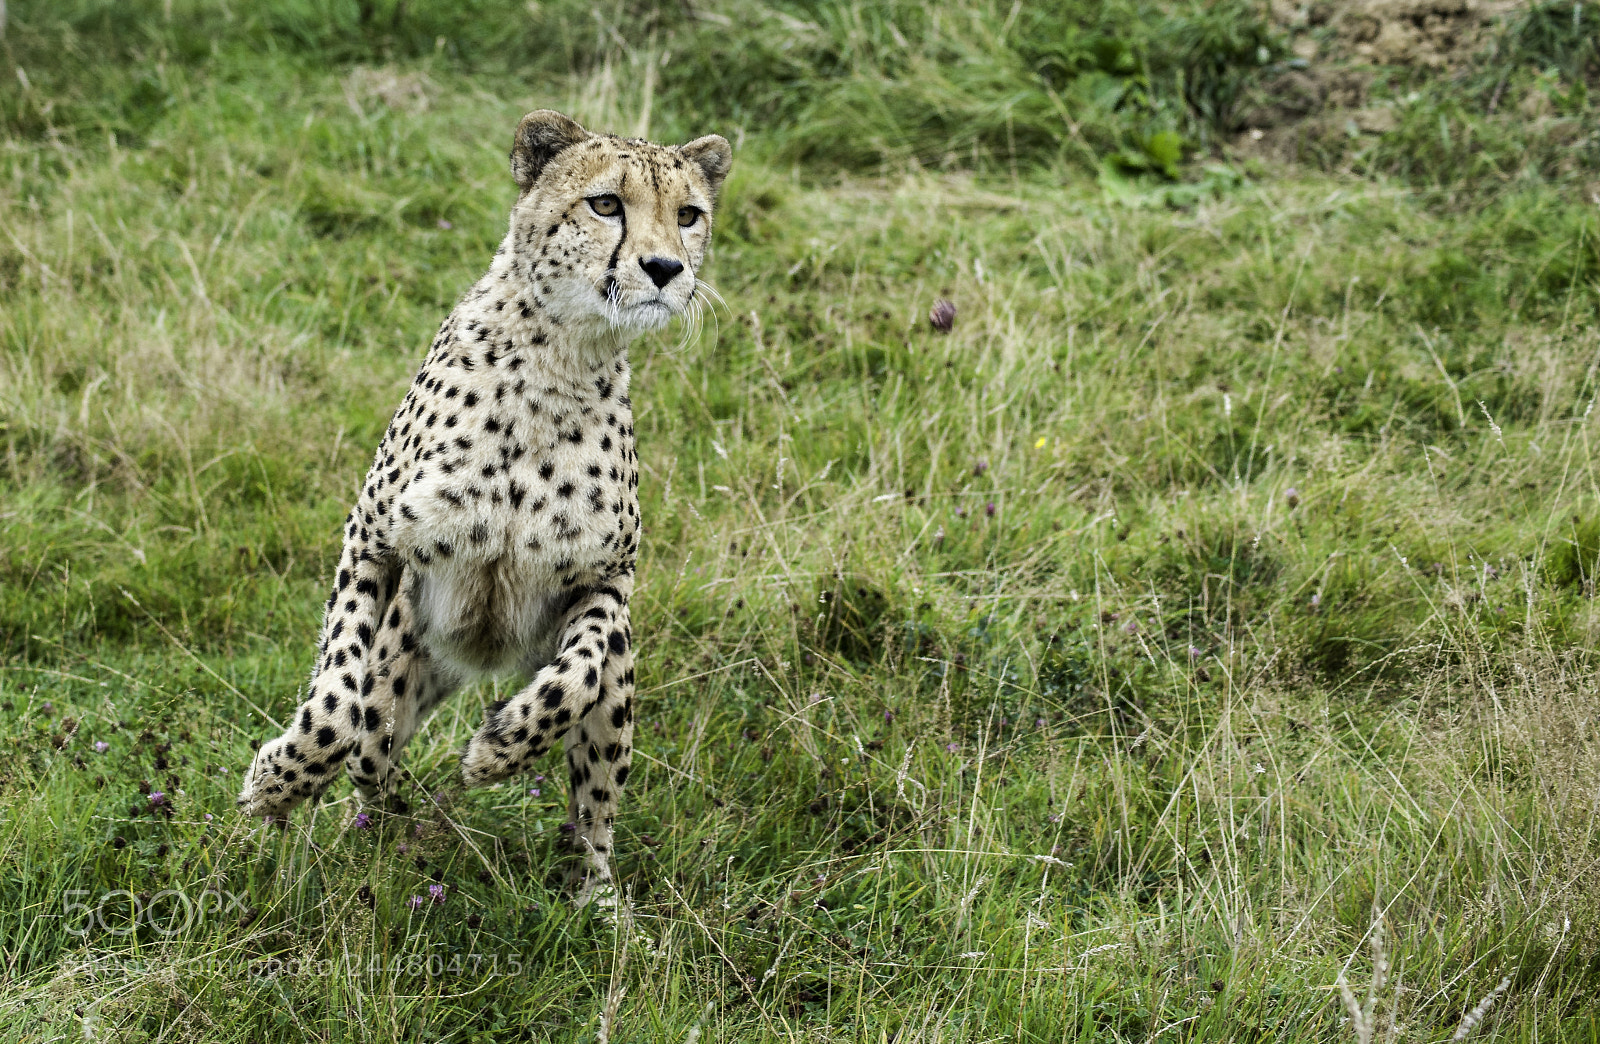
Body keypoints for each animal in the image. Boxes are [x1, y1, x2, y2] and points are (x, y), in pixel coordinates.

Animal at [237, 110, 732, 898]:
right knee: (371, 759)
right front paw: (279, 781)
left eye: (688, 215)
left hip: (612, 681)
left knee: (593, 808)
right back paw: (371, 837)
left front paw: (500, 748)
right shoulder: (371, 537)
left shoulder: (609, 581)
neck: (561, 355)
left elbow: (576, 677)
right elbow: (336, 702)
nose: (665, 269)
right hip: (402, 664)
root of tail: (475, 662)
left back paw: (599, 904)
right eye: (605, 204)